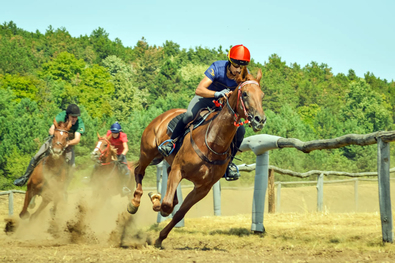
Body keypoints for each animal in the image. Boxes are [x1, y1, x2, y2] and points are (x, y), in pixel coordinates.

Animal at [128, 67, 268, 249]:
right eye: (244, 94)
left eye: (262, 95)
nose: (260, 119)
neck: (213, 142)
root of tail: (163, 116)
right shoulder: (179, 170)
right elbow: (166, 204)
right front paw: (156, 200)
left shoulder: (203, 188)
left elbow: (178, 212)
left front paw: (160, 238)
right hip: (148, 152)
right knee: (139, 171)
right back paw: (134, 202)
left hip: (168, 163)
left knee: (168, 187)